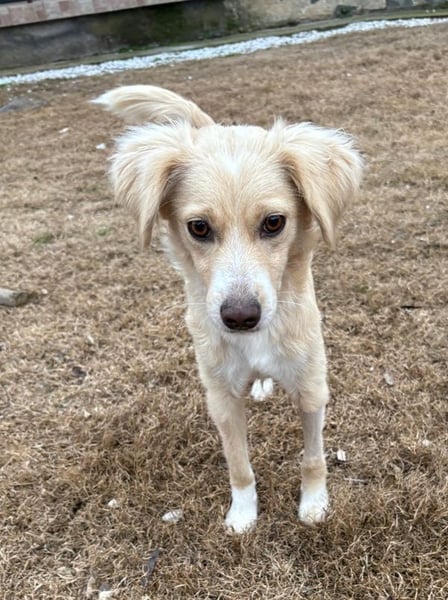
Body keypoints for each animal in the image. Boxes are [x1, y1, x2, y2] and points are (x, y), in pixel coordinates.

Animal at [94, 85, 363, 533]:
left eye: (274, 222)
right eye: (199, 227)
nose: (239, 318)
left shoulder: (312, 388)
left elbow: (313, 458)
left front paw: (313, 503)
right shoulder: (221, 398)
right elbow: (239, 466)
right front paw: (242, 514)